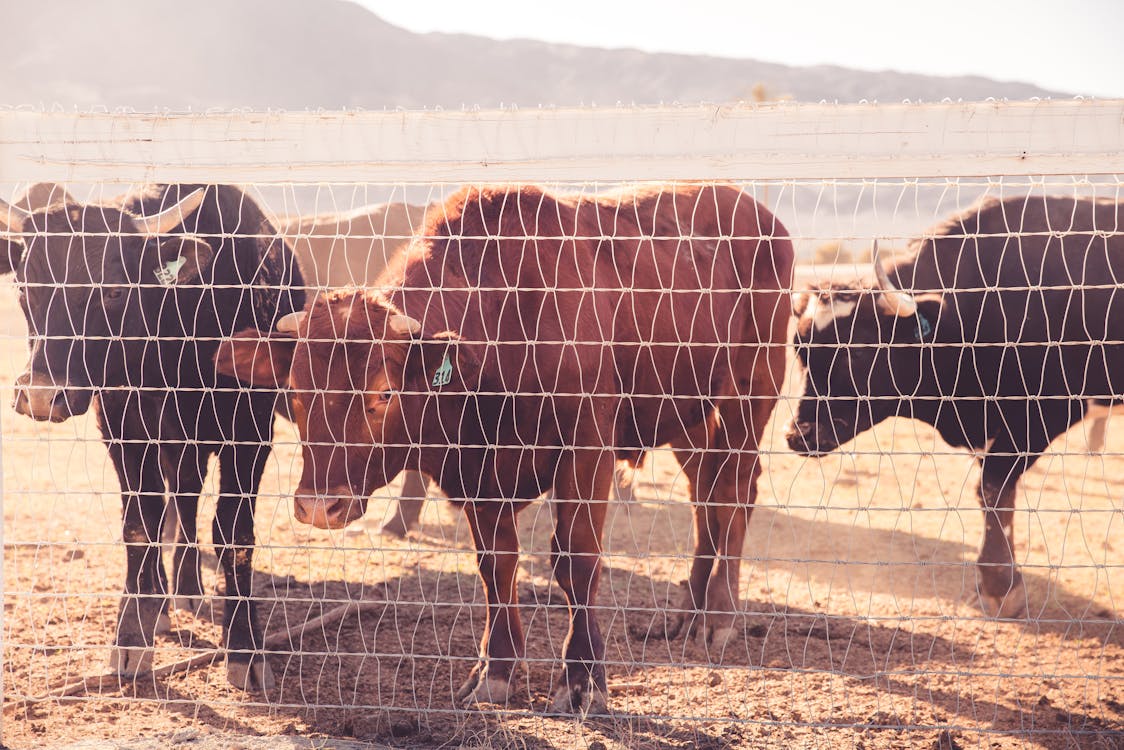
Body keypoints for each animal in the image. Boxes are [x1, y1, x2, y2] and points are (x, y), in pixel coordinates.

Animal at [0, 186, 305, 692]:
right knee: (174, 501)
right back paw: (156, 600)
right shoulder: (121, 425)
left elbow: (234, 533)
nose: (41, 394)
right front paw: (130, 636)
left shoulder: (251, 430)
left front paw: (245, 647)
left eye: (112, 290)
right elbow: (139, 525)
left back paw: (185, 590)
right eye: (25, 289)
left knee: (186, 498)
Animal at [214, 184, 795, 715]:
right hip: (687, 416)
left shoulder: (587, 448)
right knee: (705, 497)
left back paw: (719, 618)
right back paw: (686, 614)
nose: (319, 506)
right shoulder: (478, 474)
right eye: (294, 392)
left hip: (749, 394)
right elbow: (497, 564)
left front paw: (583, 681)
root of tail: (761, 216)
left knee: (733, 495)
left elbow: (576, 559)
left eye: (382, 393)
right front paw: (494, 671)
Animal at [782, 195, 1124, 620]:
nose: (798, 435)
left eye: (858, 351)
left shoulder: (1037, 416)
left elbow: (992, 488)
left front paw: (1000, 585)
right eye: (799, 349)